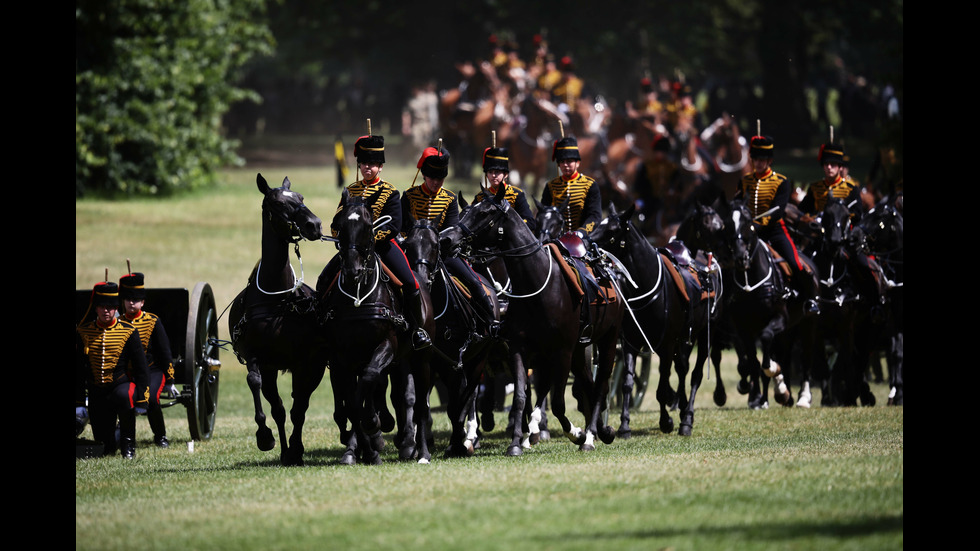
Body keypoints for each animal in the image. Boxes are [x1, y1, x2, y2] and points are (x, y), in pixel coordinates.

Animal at [228, 172, 328, 466]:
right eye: (277, 203)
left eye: (301, 197)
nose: (314, 224)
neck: (276, 300)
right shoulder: (256, 356)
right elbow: (256, 385)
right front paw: (265, 436)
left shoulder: (305, 361)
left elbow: (300, 407)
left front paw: (296, 448)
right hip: (272, 367)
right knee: (279, 408)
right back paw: (283, 449)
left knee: (296, 405)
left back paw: (293, 449)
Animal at [320, 192, 434, 464]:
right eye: (339, 225)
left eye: (367, 226)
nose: (352, 271)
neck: (358, 296)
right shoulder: (342, 358)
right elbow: (353, 402)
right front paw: (368, 449)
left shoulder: (386, 345)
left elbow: (370, 379)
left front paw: (373, 423)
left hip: (421, 359)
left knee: (421, 405)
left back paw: (422, 451)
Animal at [402, 219, 502, 458]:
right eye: (408, 245)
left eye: (436, 246)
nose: (420, 278)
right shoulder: (425, 361)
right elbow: (420, 403)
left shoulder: (454, 363)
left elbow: (456, 404)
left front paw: (457, 443)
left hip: (478, 359)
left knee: (469, 394)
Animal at [442, 188, 624, 454]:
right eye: (466, 211)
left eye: (484, 213)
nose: (445, 238)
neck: (538, 285)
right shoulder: (520, 349)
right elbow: (520, 396)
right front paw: (516, 442)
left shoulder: (561, 351)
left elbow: (557, 402)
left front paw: (576, 434)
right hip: (579, 351)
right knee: (588, 386)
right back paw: (601, 430)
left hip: (606, 340)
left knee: (600, 387)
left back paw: (590, 436)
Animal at [588, 205, 720, 438]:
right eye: (598, 225)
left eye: (612, 230)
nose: (586, 242)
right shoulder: (631, 344)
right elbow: (628, 383)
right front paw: (624, 426)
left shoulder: (666, 345)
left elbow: (661, 388)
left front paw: (666, 421)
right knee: (682, 369)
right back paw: (681, 406)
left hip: (704, 335)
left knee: (695, 375)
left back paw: (687, 419)